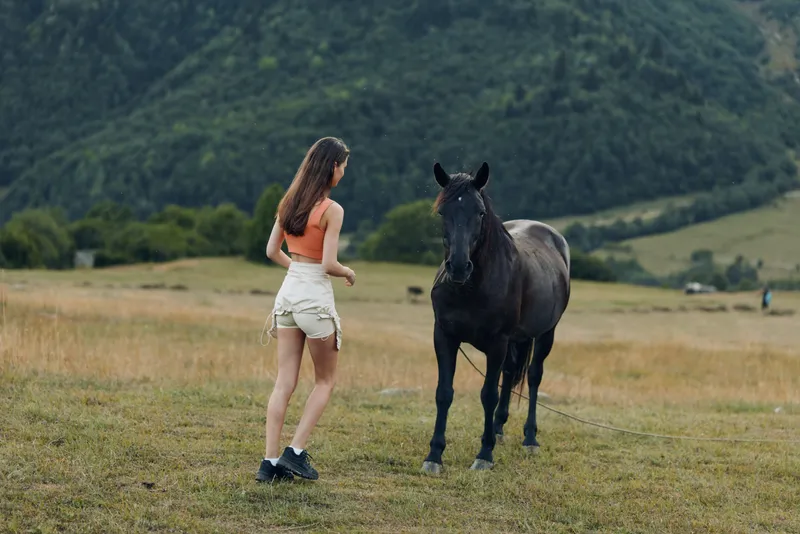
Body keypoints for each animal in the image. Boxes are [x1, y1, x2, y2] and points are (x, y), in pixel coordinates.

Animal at [422, 161, 571, 473]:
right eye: (443, 211)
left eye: (480, 212)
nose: (458, 267)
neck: (472, 287)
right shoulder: (444, 336)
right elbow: (444, 393)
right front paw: (434, 455)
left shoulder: (497, 343)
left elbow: (488, 394)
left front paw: (484, 455)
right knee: (510, 373)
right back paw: (498, 428)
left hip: (546, 334)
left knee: (534, 377)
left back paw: (529, 439)